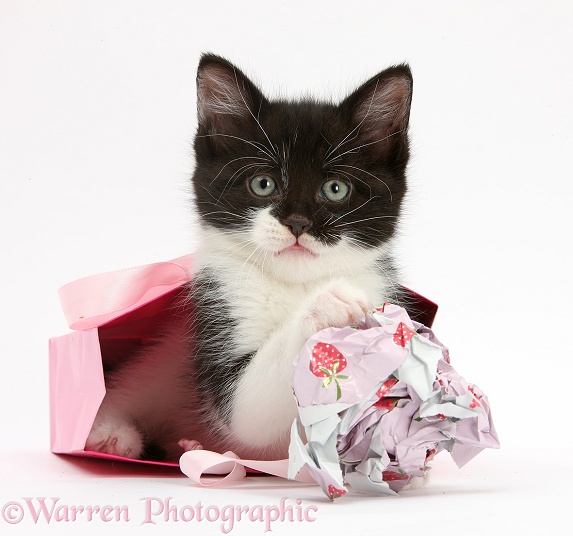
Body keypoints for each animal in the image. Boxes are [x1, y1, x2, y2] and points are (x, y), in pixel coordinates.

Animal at [84, 55, 412, 464]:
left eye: (336, 189)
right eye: (262, 184)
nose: (297, 222)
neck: (295, 283)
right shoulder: (218, 305)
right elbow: (247, 407)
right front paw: (328, 303)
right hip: (164, 358)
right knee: (127, 386)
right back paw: (110, 434)